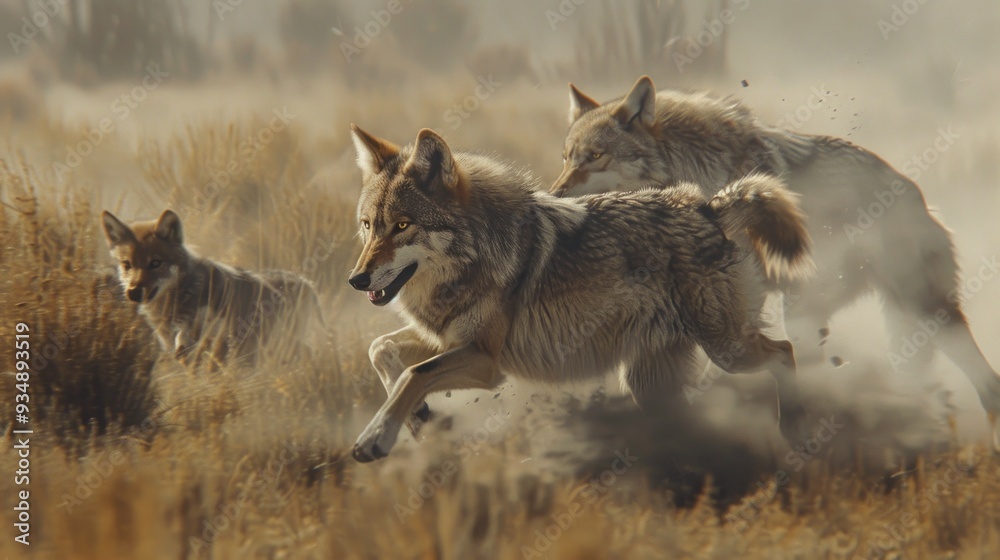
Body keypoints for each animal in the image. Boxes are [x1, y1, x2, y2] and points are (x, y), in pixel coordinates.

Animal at [346, 124, 814, 462]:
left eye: (402, 226)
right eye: (368, 225)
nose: (356, 280)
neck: (478, 252)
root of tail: (707, 207)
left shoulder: (485, 360)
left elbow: (414, 374)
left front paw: (374, 439)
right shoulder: (447, 340)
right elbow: (381, 350)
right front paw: (416, 419)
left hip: (727, 351)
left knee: (785, 351)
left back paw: (793, 429)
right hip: (649, 383)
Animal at [549, 75, 1000, 448]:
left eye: (596, 155)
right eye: (567, 157)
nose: (554, 196)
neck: (695, 170)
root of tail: (918, 197)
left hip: (919, 310)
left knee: (986, 381)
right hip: (814, 313)